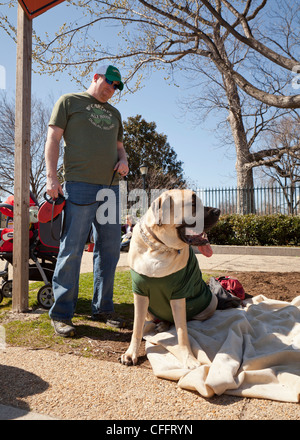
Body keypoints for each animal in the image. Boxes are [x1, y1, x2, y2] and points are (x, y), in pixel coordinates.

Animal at [119, 188, 220, 368]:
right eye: (193, 203)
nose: (219, 211)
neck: (159, 246)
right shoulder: (139, 293)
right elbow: (137, 328)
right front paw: (131, 354)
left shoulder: (179, 294)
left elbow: (182, 332)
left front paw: (189, 358)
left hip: (211, 302)